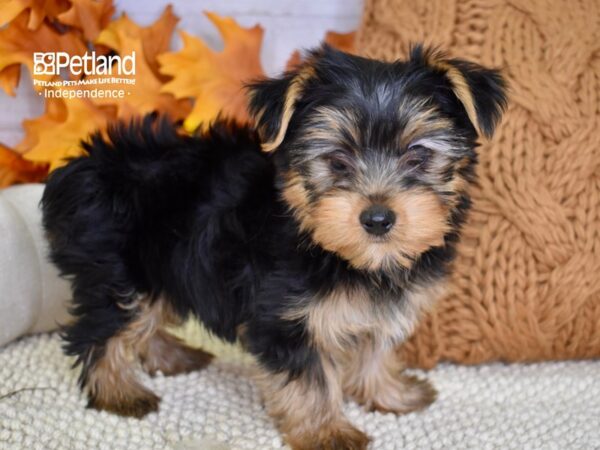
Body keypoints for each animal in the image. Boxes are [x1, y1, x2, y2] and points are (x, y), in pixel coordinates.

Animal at [41, 44, 506, 448]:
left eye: (417, 155)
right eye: (337, 159)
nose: (377, 218)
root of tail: (77, 167)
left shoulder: (377, 309)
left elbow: (375, 349)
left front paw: (389, 393)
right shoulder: (283, 316)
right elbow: (310, 378)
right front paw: (326, 432)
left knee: (148, 314)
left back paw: (171, 356)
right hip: (116, 269)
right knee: (102, 330)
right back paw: (118, 392)